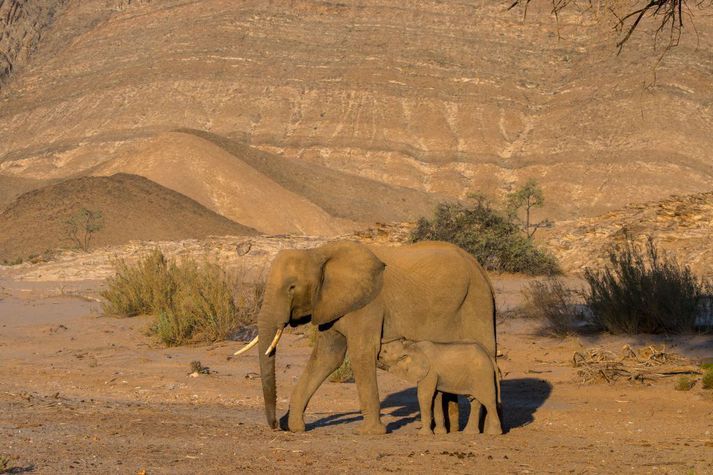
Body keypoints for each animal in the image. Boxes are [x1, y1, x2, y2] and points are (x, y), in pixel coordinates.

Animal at [234, 242, 496, 436]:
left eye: (291, 287)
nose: (275, 425)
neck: (318, 253)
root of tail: (478, 265)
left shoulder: (368, 305)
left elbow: (361, 353)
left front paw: (371, 432)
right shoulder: (332, 304)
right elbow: (327, 357)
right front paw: (295, 427)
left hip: (478, 301)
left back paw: (482, 432)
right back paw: (450, 431)